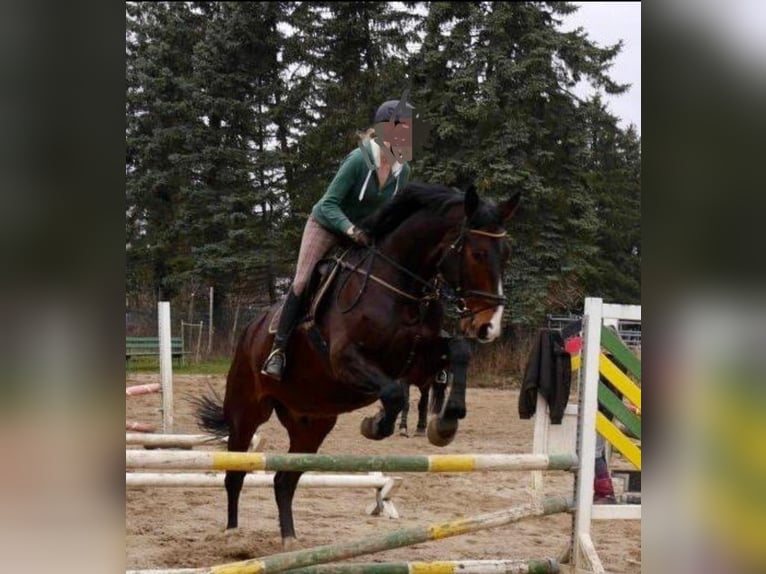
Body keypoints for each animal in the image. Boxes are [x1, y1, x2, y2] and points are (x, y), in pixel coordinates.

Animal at [195, 182, 524, 552]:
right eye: (477, 254)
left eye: (507, 253)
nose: (488, 327)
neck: (401, 287)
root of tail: (249, 331)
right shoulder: (346, 360)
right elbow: (394, 393)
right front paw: (377, 424)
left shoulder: (420, 364)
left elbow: (458, 351)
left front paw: (445, 424)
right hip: (246, 412)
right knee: (235, 471)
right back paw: (231, 537)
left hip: (311, 425)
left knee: (284, 480)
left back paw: (290, 540)